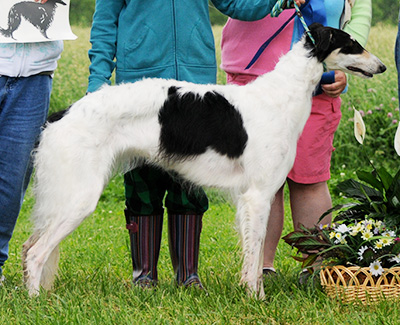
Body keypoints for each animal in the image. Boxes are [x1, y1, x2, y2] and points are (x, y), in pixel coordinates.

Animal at [22, 23, 388, 296]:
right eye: (353, 44)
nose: (383, 66)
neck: (281, 95)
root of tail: (61, 114)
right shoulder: (258, 196)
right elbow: (254, 258)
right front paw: (256, 298)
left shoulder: (258, 197)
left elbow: (253, 256)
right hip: (80, 197)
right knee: (37, 253)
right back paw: (36, 301)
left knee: (28, 247)